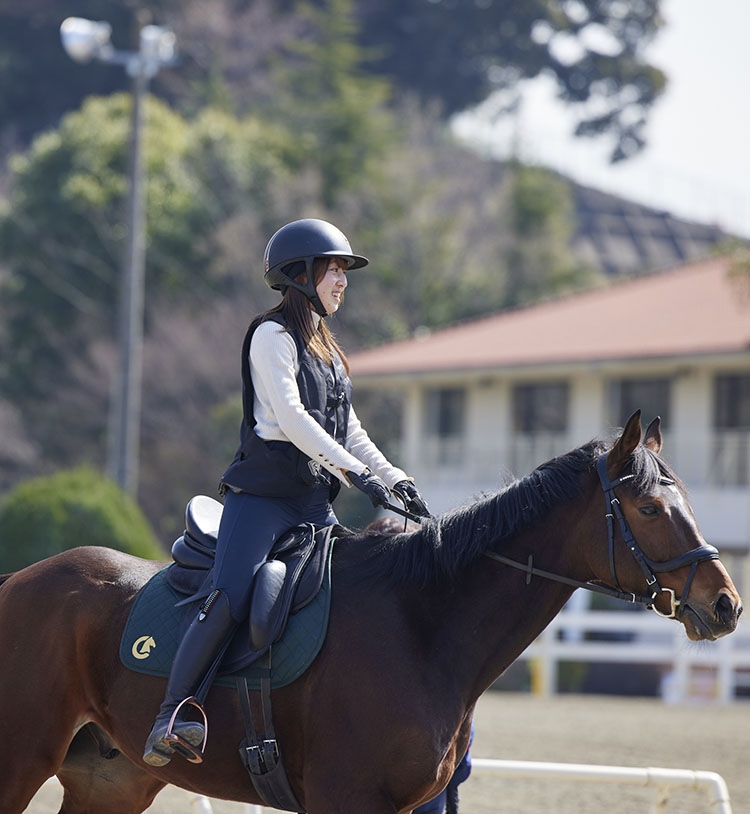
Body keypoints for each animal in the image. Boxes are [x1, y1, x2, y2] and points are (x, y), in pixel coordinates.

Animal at [0, 418, 740, 812]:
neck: (423, 626)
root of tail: (21, 579)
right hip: (22, 761)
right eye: (649, 508)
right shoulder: (345, 799)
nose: (726, 603)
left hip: (110, 782)